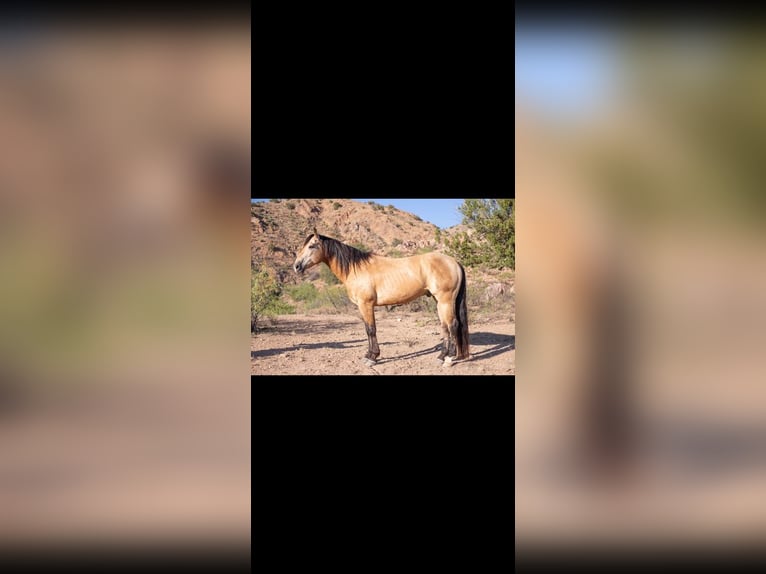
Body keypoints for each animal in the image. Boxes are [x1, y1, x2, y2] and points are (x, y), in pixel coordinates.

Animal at [293, 228, 469, 366]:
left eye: (311, 246)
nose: (296, 266)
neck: (356, 269)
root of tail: (454, 262)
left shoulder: (366, 304)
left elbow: (371, 329)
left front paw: (372, 357)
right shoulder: (363, 306)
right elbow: (367, 329)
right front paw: (369, 355)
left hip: (446, 300)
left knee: (453, 325)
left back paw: (449, 357)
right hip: (439, 301)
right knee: (445, 326)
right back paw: (441, 356)